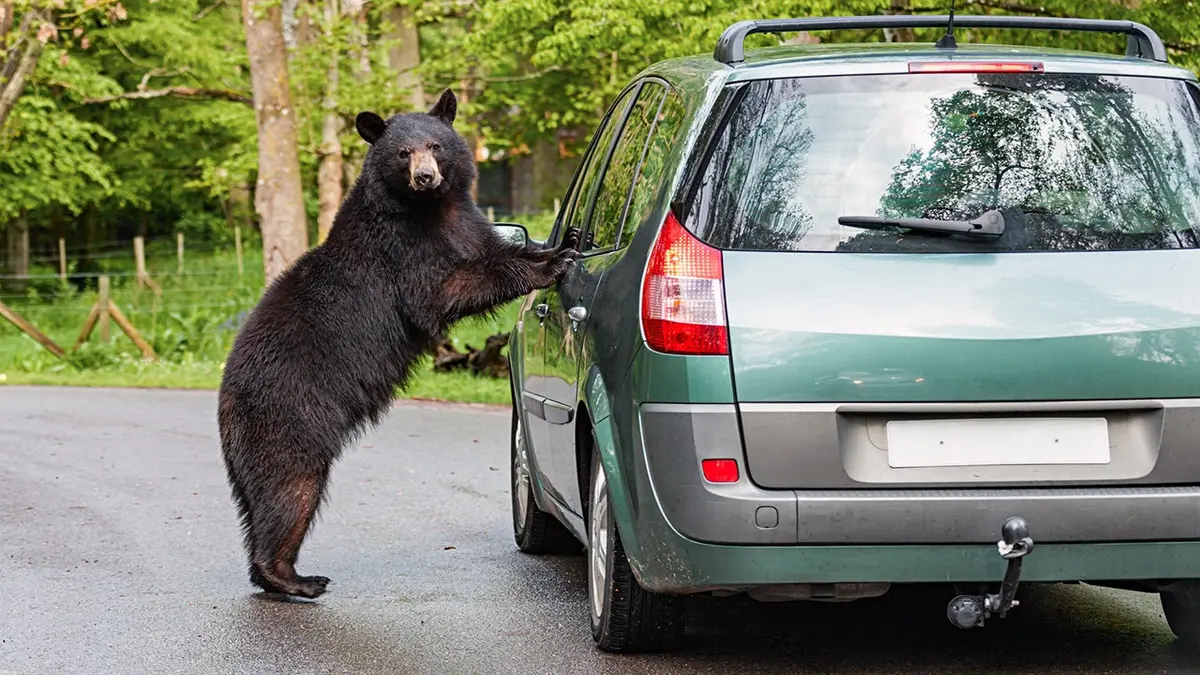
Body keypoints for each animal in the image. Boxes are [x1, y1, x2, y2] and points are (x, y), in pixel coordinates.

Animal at [217, 88, 578, 600]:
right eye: (403, 152)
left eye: (435, 144)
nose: (426, 177)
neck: (429, 210)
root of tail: (226, 398)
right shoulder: (401, 250)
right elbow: (442, 289)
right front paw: (550, 263)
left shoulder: (466, 222)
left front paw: (554, 245)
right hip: (290, 413)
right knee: (290, 488)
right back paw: (295, 577)